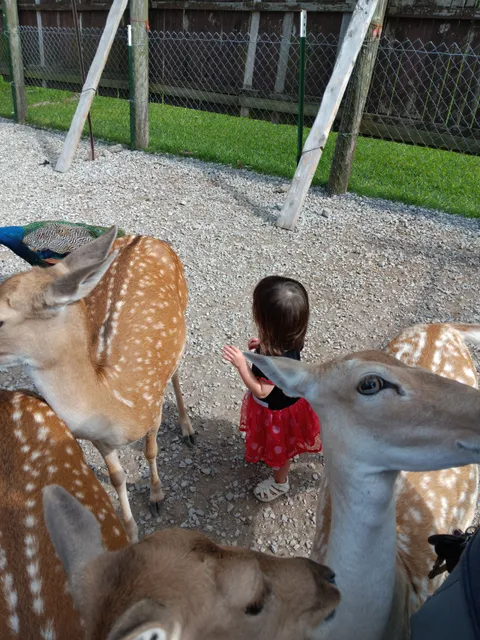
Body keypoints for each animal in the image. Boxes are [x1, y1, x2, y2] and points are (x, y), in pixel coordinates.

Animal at [0, 226, 195, 543]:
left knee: (176, 372)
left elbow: (150, 450)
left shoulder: (153, 406)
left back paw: (187, 428)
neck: (117, 401)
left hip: (183, 312)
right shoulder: (97, 439)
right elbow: (116, 477)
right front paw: (131, 531)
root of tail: (143, 238)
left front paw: (156, 496)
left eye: (1, 320)